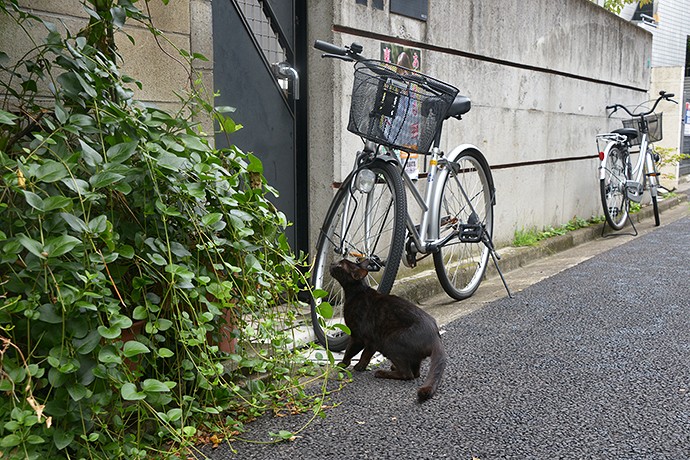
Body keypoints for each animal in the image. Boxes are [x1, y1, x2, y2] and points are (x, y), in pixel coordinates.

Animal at [328, 260, 446, 400]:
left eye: (340, 265)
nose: (332, 263)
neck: (356, 293)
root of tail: (435, 336)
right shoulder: (368, 341)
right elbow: (361, 353)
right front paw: (354, 365)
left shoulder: (359, 337)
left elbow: (354, 352)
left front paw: (350, 365)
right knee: (415, 372)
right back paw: (393, 368)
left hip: (390, 342)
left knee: (408, 374)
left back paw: (382, 372)